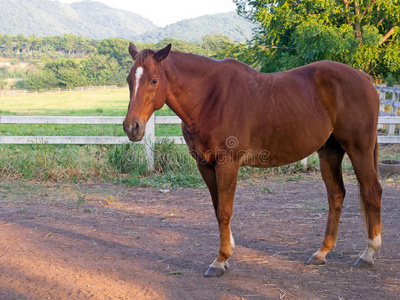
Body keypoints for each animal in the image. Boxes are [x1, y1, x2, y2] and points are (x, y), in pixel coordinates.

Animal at [123, 43, 382, 278]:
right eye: (129, 80)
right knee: (336, 195)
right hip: (329, 152)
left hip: (359, 149)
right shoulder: (204, 164)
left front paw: (220, 260)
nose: (131, 127)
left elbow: (224, 211)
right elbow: (217, 208)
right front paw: (227, 251)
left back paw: (369, 253)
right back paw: (322, 252)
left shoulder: (228, 163)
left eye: (154, 80)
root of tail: (365, 79)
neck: (210, 98)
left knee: (371, 192)